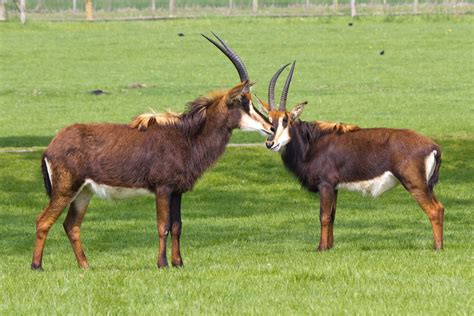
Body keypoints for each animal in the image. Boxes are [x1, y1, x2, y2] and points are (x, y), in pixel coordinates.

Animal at [31, 33, 272, 270]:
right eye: (243, 102)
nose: (270, 127)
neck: (187, 137)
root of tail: (52, 146)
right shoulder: (162, 188)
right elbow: (162, 226)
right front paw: (162, 263)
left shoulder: (177, 191)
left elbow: (177, 226)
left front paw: (178, 263)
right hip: (65, 190)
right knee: (43, 220)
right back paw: (37, 266)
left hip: (84, 193)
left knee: (71, 225)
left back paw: (85, 266)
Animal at [260, 61, 444, 249]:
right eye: (269, 120)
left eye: (286, 120)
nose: (270, 143)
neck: (311, 143)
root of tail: (433, 146)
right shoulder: (334, 187)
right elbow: (332, 216)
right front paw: (330, 247)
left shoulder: (325, 184)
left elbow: (323, 216)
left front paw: (320, 248)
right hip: (427, 186)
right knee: (440, 207)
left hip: (415, 184)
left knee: (434, 210)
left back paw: (437, 248)